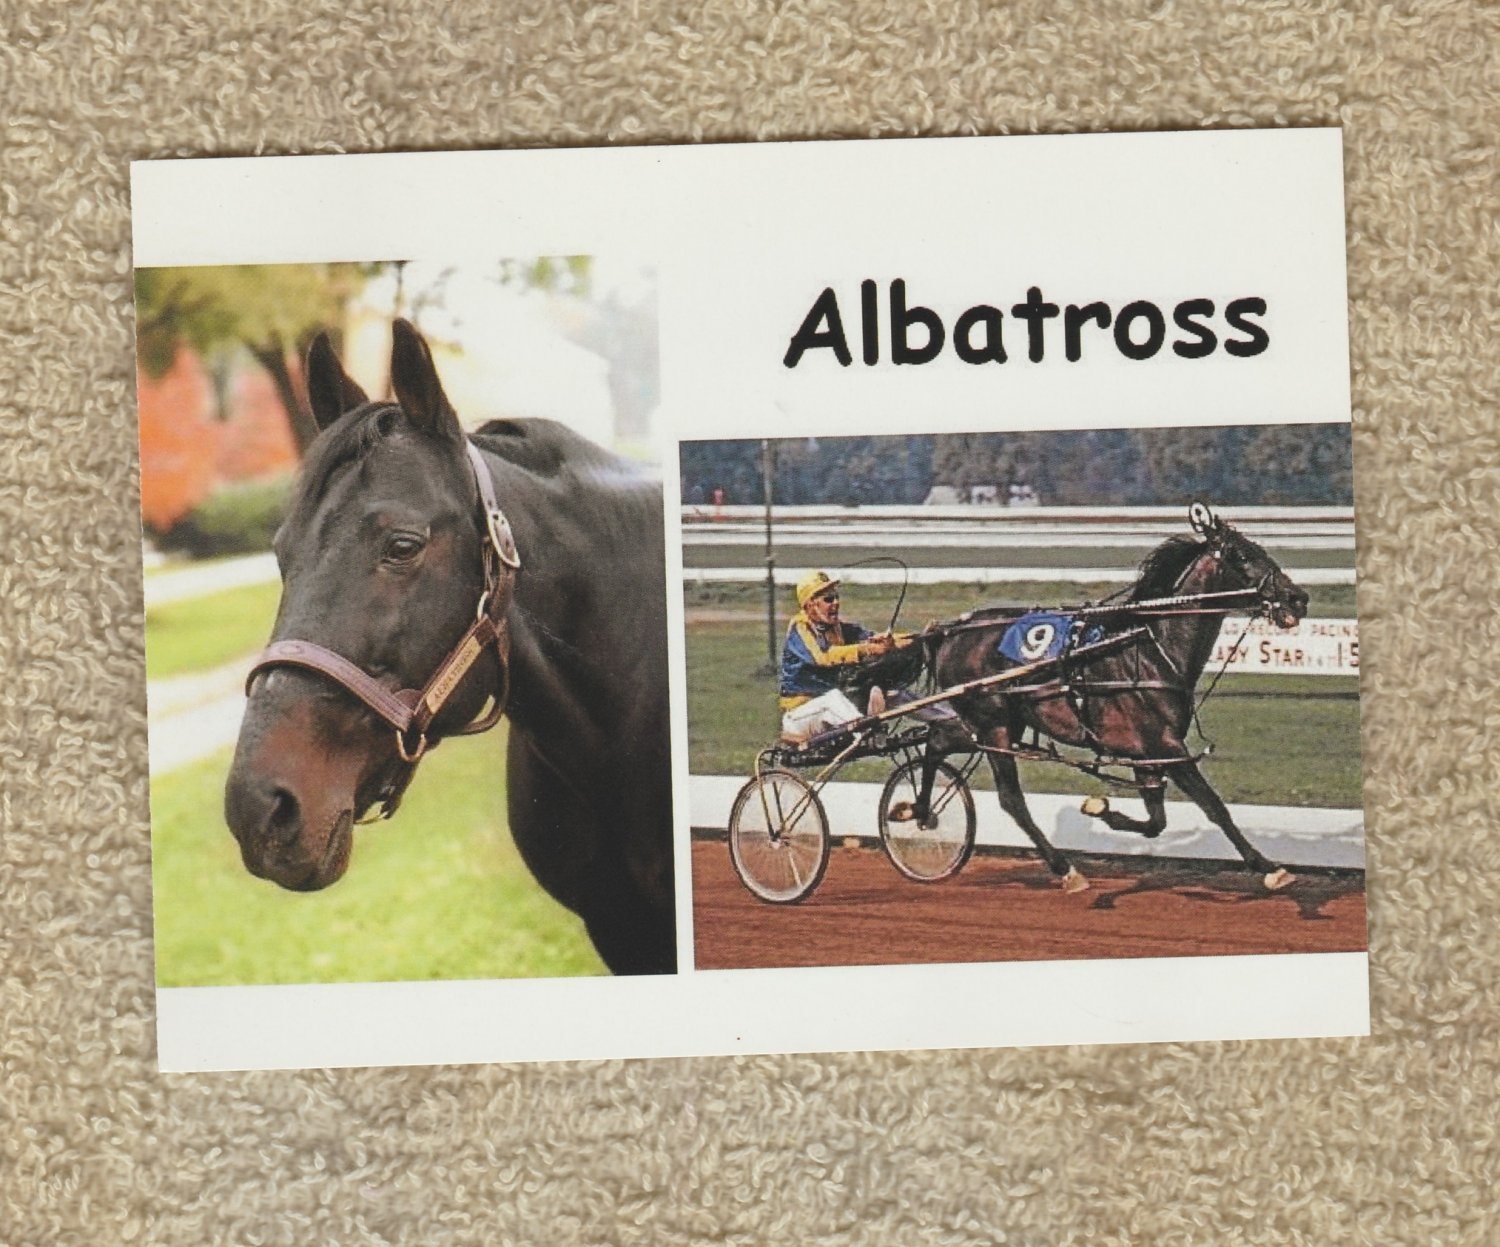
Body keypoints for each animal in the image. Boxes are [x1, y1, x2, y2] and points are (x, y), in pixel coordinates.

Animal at [919, 504, 1310, 894]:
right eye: (1242, 556)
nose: (1298, 598)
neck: (1150, 647)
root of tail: (951, 632)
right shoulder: (1167, 746)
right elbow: (1214, 806)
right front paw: (1270, 868)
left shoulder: (1146, 753)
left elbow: (1156, 822)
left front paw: (1100, 809)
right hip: (993, 725)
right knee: (1009, 797)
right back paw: (1064, 869)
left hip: (999, 725)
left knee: (937, 743)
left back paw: (919, 811)